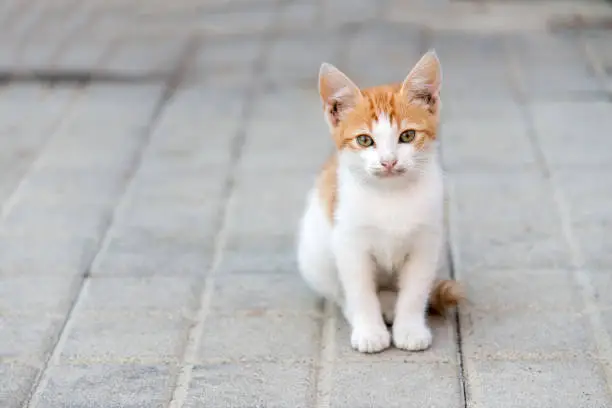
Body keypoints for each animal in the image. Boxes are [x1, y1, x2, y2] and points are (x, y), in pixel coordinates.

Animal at [298, 49, 462, 352]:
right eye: (364, 140)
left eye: (407, 135)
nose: (389, 161)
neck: (391, 195)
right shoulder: (350, 243)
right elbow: (360, 291)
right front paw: (369, 331)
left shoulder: (426, 242)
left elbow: (415, 290)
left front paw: (409, 329)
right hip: (315, 254)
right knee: (340, 291)